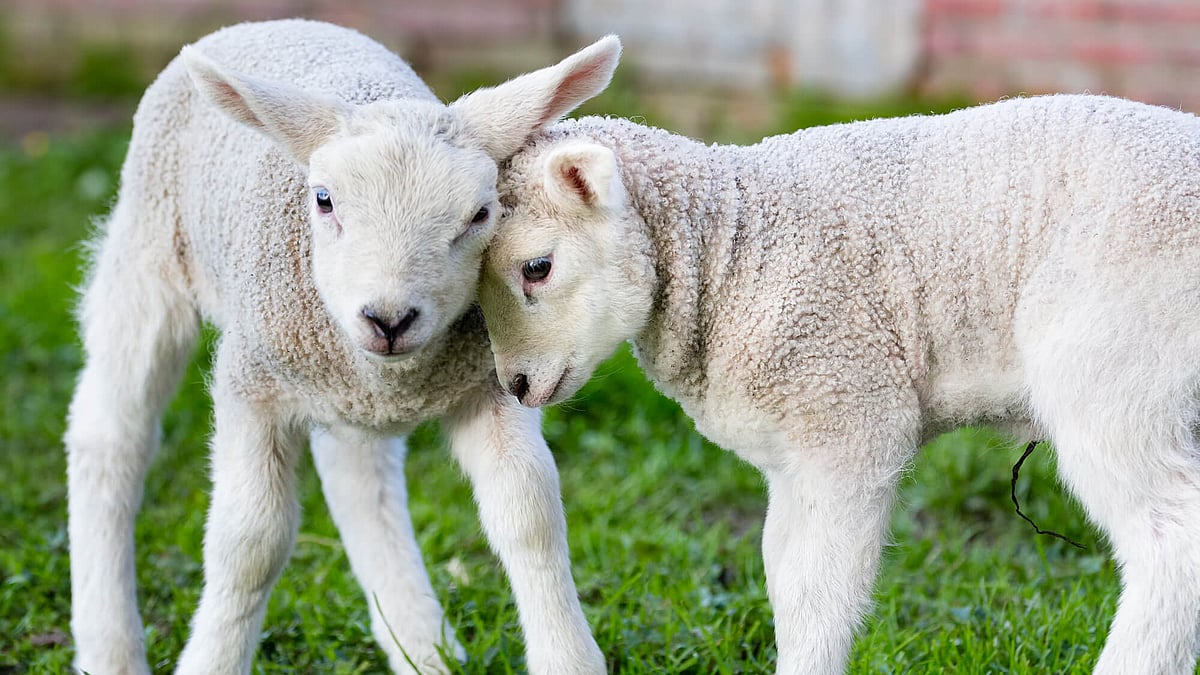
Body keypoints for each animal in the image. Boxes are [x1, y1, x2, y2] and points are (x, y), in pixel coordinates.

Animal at [64, 18, 621, 675]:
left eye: (481, 214)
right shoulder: (252, 381)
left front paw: (567, 657)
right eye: (323, 199)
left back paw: (419, 645)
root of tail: (275, 22)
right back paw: (108, 646)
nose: (389, 318)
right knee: (110, 434)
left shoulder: (485, 383)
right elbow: (249, 540)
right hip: (149, 248)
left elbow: (530, 513)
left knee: (358, 479)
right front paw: (213, 659)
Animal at [477, 95, 1200, 674]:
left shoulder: (849, 415)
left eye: (537, 267)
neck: (730, 246)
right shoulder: (791, 452)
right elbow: (781, 574)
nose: (516, 384)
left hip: (1114, 362)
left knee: (1173, 537)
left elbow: (818, 595)